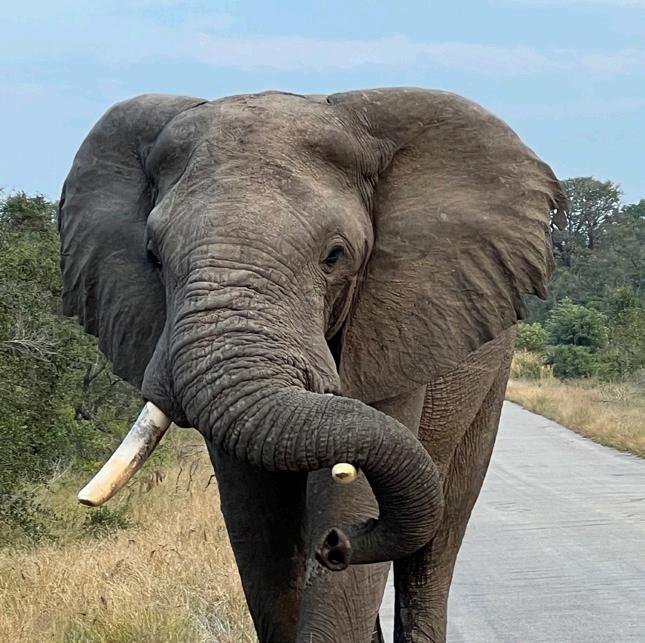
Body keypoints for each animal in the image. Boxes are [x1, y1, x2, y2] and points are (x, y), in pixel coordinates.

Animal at [58, 87, 564, 643]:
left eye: (334, 256)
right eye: (152, 256)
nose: (336, 546)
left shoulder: (392, 324)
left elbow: (352, 499)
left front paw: (340, 529)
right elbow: (257, 523)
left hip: (490, 374)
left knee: (439, 539)